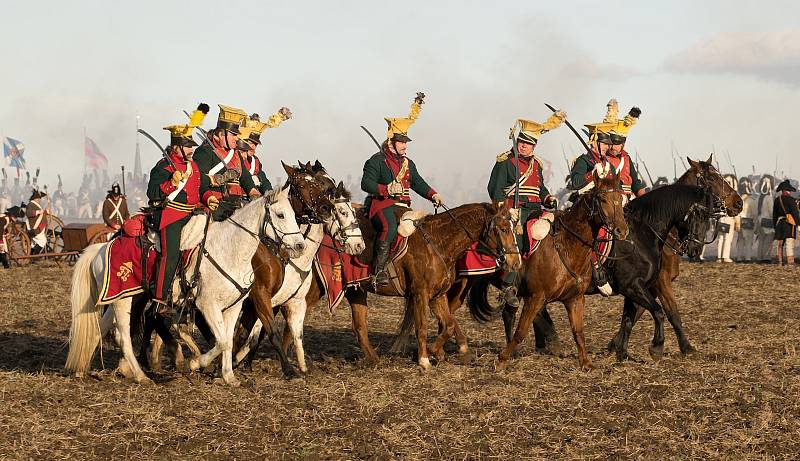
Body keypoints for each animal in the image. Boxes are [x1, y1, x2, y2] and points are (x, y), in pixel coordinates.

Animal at [65, 184, 306, 384]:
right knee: (124, 336)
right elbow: (221, 341)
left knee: (102, 329)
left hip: (123, 299)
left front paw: (228, 376)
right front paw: (196, 363)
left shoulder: (233, 306)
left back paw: (83, 370)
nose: (300, 246)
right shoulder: (208, 306)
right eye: (281, 215)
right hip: (124, 300)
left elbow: (228, 340)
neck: (230, 249)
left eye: (294, 214)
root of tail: (102, 247)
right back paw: (142, 375)